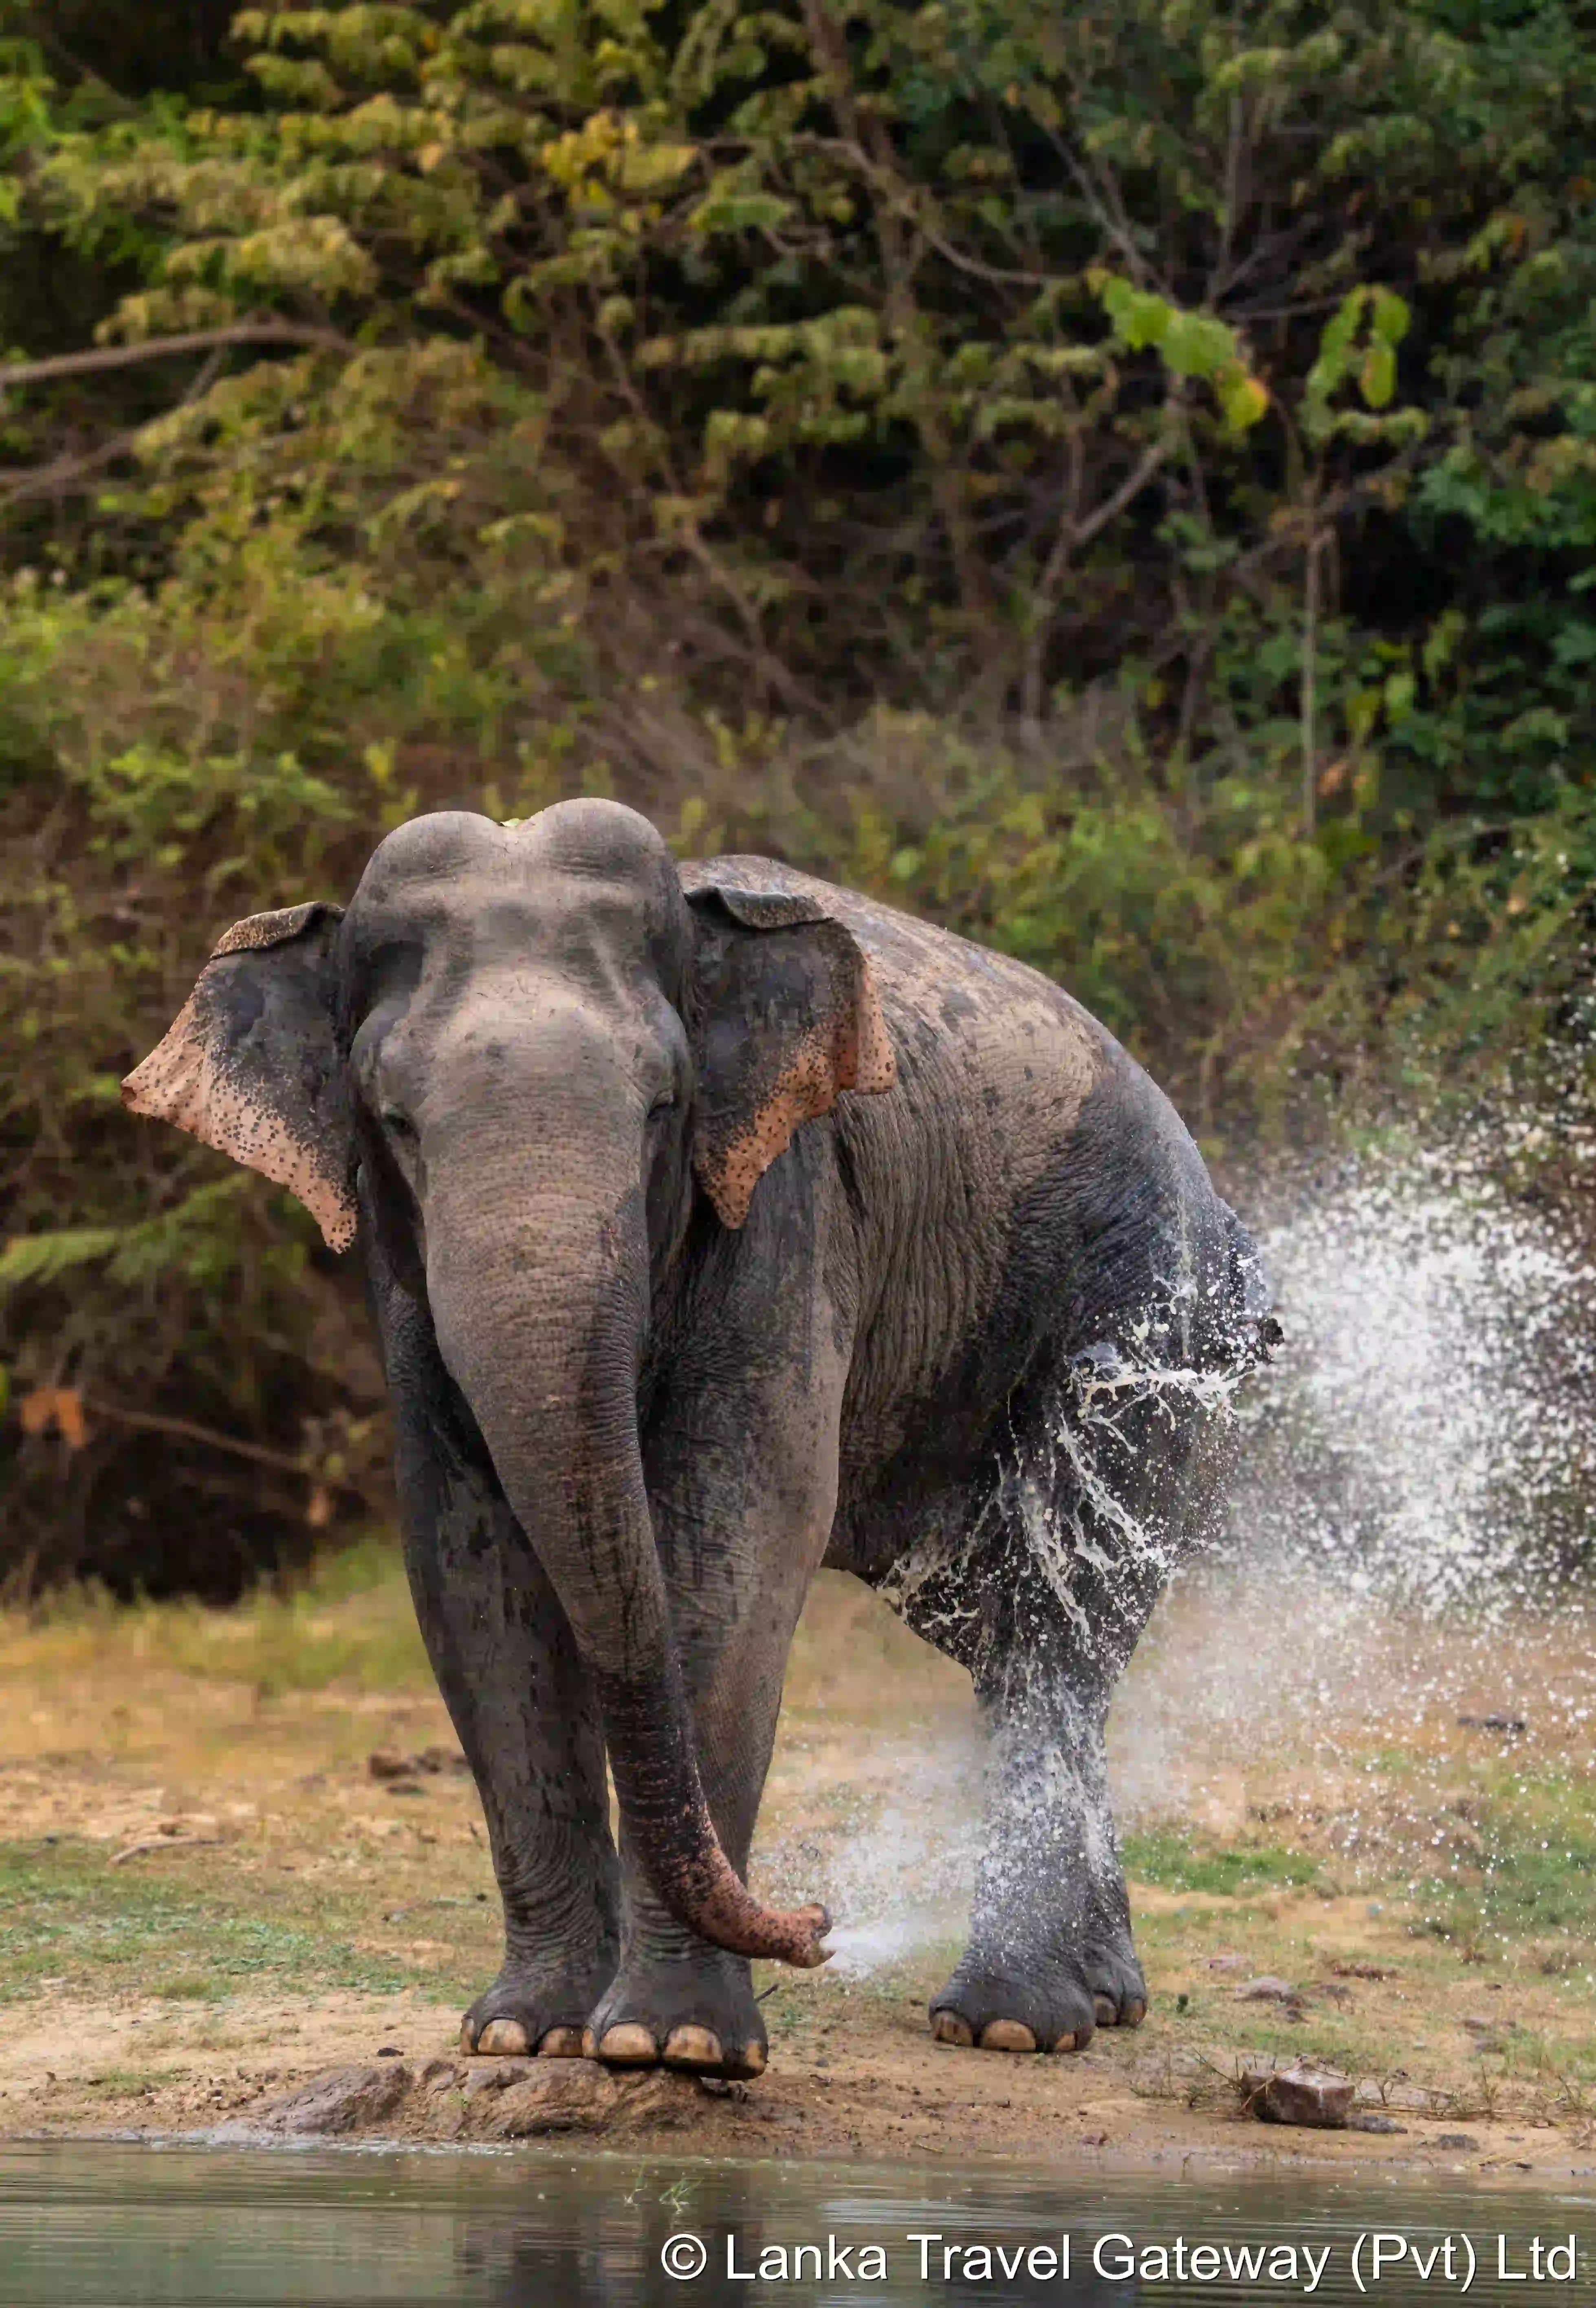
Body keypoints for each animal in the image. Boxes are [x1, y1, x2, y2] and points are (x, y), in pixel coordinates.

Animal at [123, 799, 1275, 2078]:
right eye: (395, 1122)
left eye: (662, 1110)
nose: (816, 1925)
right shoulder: (401, 1275)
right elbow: (471, 1571)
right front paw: (526, 2033)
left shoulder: (786, 1201)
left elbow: (734, 1545)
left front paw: (665, 2047)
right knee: (1000, 1628)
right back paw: (1102, 1999)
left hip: (1142, 1312)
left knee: (1060, 1612)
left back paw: (1010, 2022)